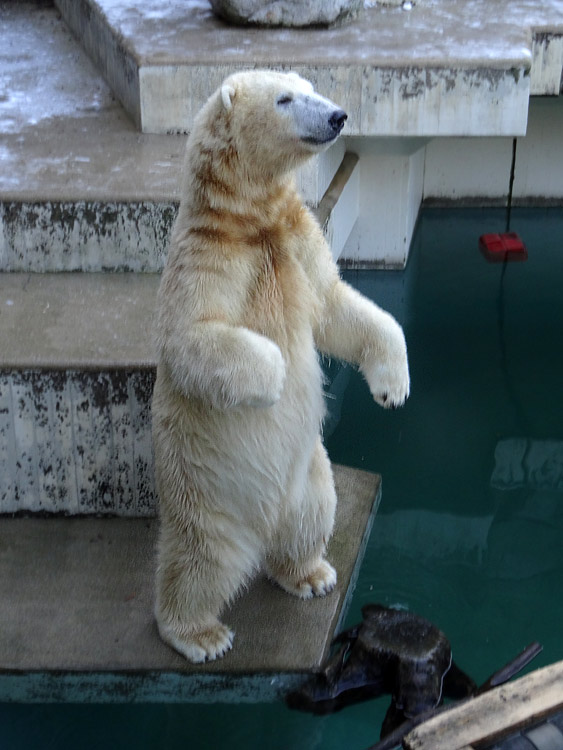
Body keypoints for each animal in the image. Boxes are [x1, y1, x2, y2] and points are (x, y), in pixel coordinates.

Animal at [152, 67, 412, 660]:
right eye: (285, 98)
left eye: (311, 87)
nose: (338, 116)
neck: (249, 221)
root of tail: (260, 527)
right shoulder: (209, 255)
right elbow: (189, 336)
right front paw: (271, 377)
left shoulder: (296, 239)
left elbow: (337, 306)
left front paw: (393, 388)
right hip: (207, 499)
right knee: (199, 565)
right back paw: (200, 634)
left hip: (309, 477)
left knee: (310, 518)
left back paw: (311, 574)